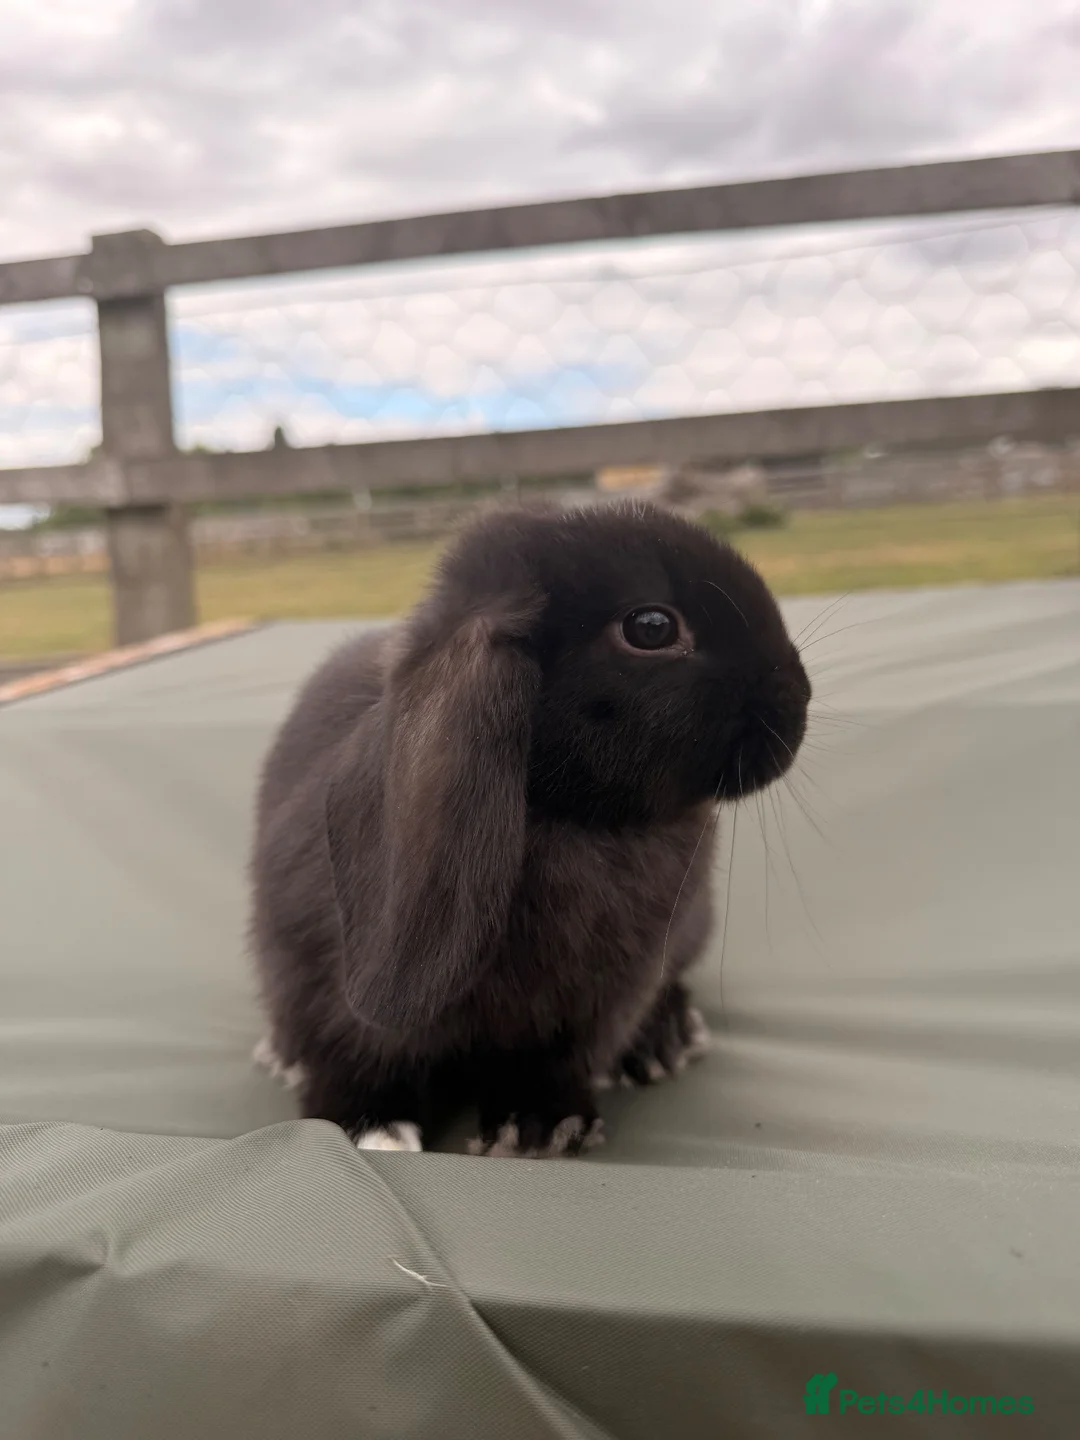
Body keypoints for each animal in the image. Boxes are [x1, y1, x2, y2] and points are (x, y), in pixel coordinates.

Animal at [249, 498, 811, 1157]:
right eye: (651, 628)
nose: (797, 699)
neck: (570, 821)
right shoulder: (322, 981)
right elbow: (355, 1054)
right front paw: (367, 1127)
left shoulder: (599, 1001)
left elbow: (556, 1061)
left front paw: (541, 1127)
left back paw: (665, 1042)